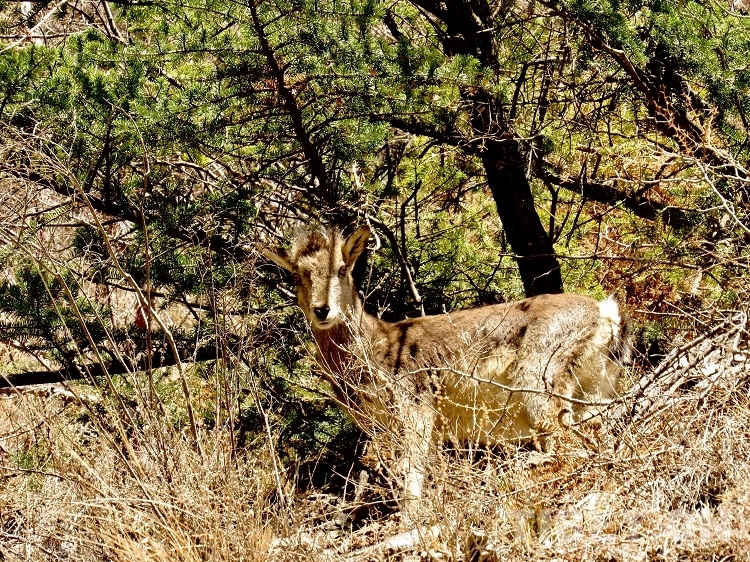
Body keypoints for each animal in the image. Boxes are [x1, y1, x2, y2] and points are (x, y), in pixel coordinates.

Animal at [263, 225, 630, 521]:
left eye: (341, 269)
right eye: (297, 276)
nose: (322, 310)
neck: (375, 346)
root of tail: (604, 313)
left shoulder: (416, 406)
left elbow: (411, 472)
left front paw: (410, 521)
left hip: (538, 387)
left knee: (570, 446)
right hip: (595, 389)